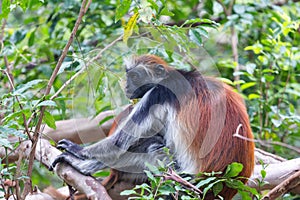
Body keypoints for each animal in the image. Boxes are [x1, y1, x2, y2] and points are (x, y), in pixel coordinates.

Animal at [52, 54, 255, 198]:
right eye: (128, 75)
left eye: (135, 76)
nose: (127, 86)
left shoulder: (158, 93)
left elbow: (118, 144)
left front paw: (76, 151)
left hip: (180, 175)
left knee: (148, 146)